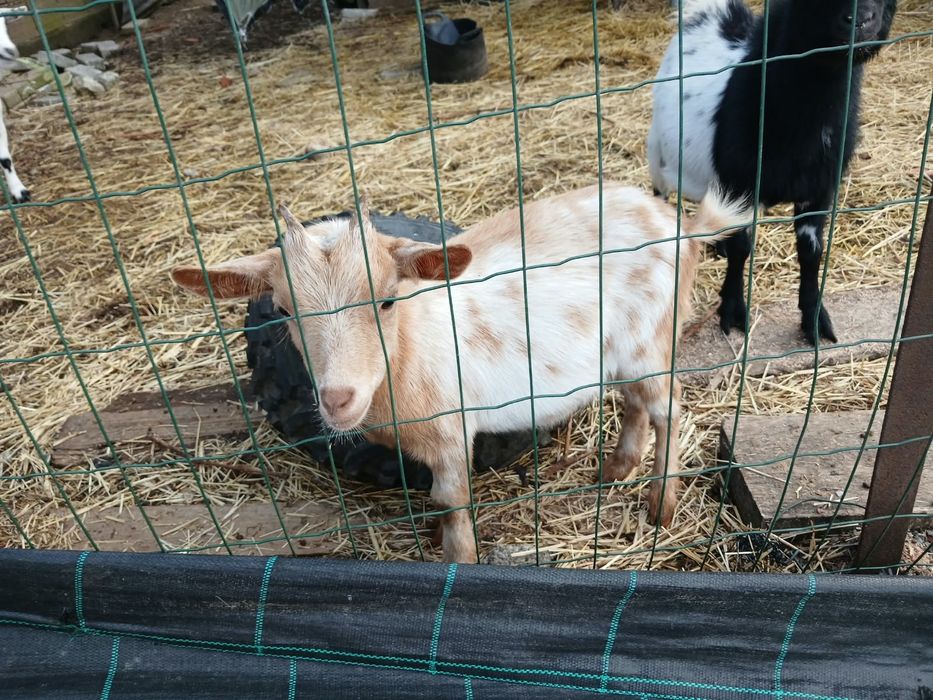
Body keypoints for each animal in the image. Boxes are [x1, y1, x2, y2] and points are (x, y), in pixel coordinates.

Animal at [172, 184, 750, 563]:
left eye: (387, 299)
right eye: (284, 309)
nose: (338, 398)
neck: (408, 346)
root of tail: (681, 225)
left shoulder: (452, 432)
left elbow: (452, 504)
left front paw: (458, 558)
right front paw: (431, 537)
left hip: (651, 338)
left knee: (668, 409)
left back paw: (661, 506)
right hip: (624, 351)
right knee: (636, 403)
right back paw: (616, 468)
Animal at [647, 0, 897, 344]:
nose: (860, 22)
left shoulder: (818, 189)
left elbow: (811, 252)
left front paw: (815, 320)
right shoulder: (739, 184)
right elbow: (742, 249)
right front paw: (733, 311)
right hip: (658, 153)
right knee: (660, 195)